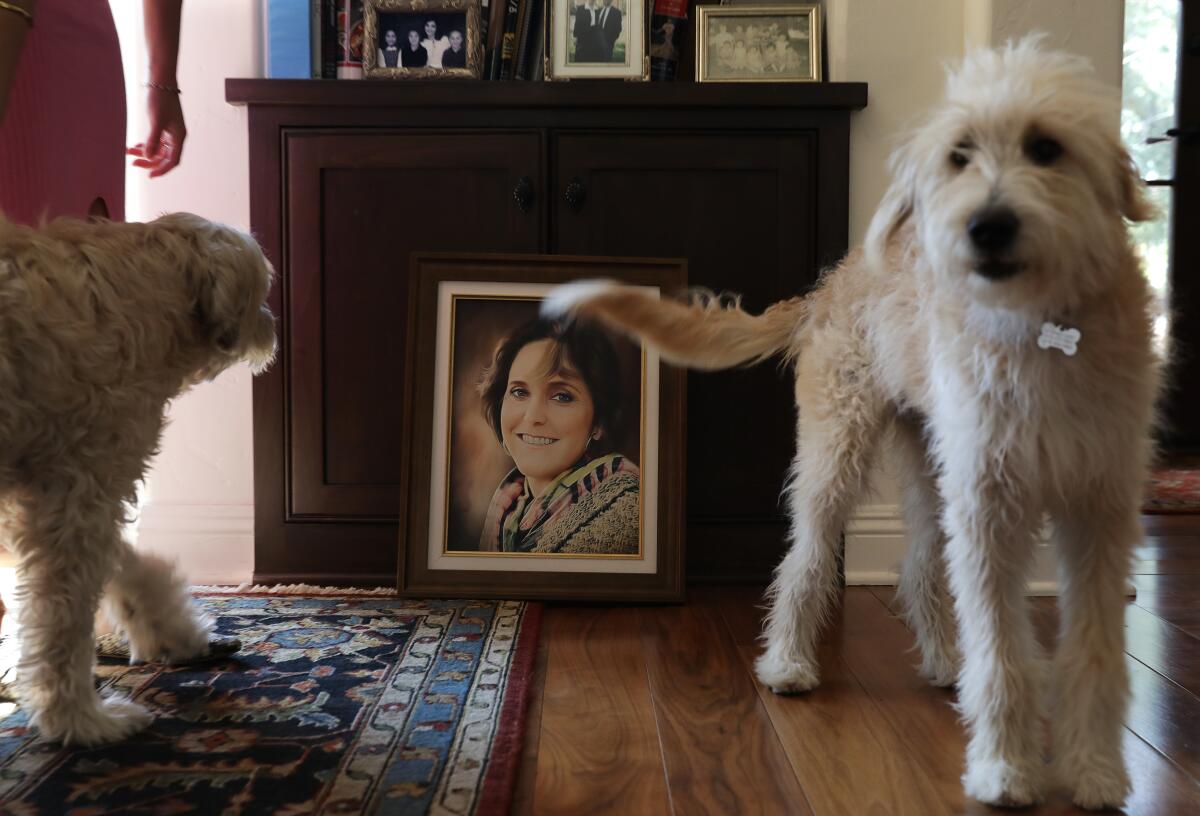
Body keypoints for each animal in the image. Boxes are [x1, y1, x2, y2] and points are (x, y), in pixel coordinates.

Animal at [0, 212, 274, 744]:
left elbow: (127, 564)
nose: (272, 323)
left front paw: (172, 629)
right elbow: (61, 615)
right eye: (263, 289)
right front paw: (79, 718)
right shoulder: (79, 483)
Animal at [547, 39, 1161, 811]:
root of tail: (827, 284)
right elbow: (1001, 650)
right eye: (960, 155)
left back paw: (943, 660)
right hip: (836, 452)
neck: (1038, 327)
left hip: (930, 468)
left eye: (1046, 148)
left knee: (922, 562)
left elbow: (1097, 648)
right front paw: (1003, 769)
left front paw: (1095, 772)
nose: (986, 228)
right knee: (804, 558)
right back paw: (787, 662)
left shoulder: (1100, 508)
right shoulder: (990, 506)